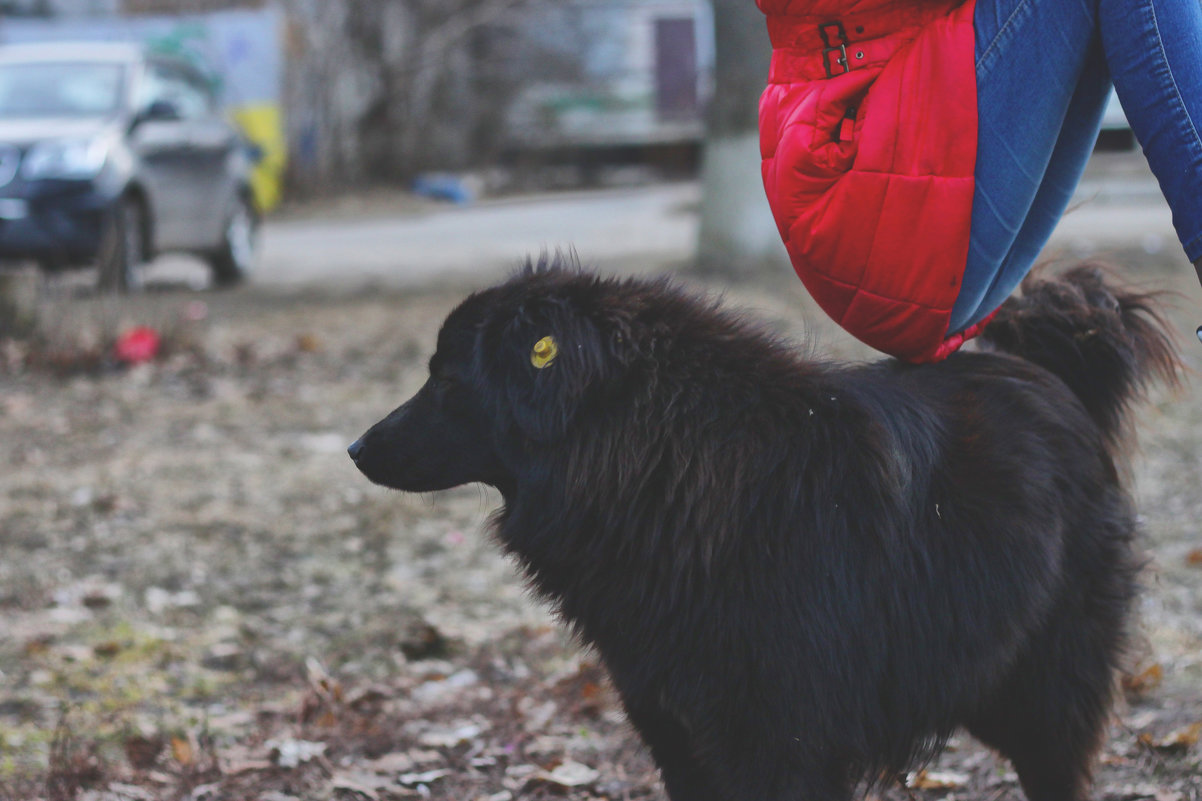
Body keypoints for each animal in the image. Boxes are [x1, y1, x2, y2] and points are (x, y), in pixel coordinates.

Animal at [348, 260, 1173, 798]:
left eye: (447, 379)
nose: (354, 447)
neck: (664, 461)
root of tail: (1054, 377)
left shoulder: (782, 740)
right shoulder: (677, 730)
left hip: (1044, 689)